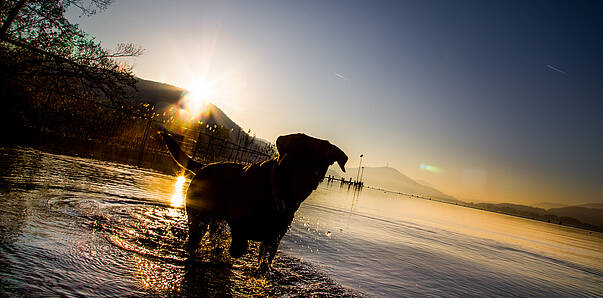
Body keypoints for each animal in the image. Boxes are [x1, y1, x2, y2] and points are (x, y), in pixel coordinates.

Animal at [160, 132, 350, 268]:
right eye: (296, 158)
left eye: (320, 166)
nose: (307, 179)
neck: (276, 194)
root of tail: (204, 166)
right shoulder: (239, 222)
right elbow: (239, 242)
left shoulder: (274, 239)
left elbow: (264, 262)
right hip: (198, 218)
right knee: (198, 236)